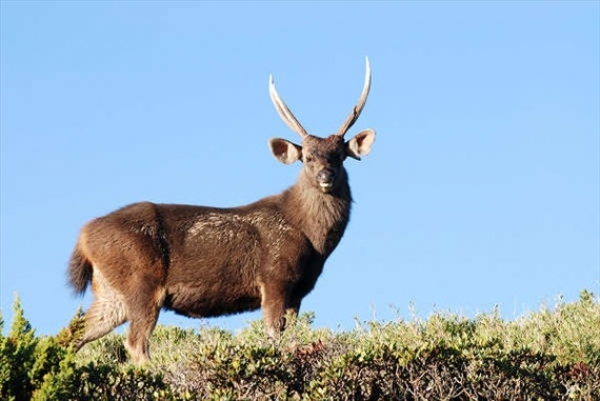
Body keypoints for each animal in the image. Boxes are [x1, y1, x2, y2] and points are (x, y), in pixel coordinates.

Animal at [67, 57, 376, 362]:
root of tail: (83, 236)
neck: (313, 241)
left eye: (340, 156)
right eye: (308, 158)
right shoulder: (274, 277)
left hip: (110, 293)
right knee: (135, 343)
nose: (326, 175)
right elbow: (273, 336)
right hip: (141, 281)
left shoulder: (299, 291)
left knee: (72, 336)